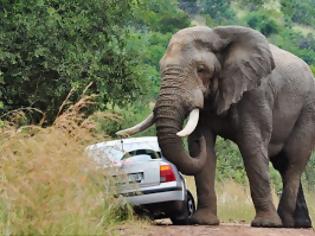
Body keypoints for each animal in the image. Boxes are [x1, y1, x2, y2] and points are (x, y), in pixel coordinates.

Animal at [116, 26, 315, 229]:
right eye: (161, 68)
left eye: (201, 69)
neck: (218, 35)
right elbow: (202, 150)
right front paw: (203, 221)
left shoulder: (256, 93)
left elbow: (252, 146)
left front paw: (266, 224)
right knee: (283, 165)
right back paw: (299, 224)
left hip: (307, 111)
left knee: (293, 161)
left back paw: (285, 222)